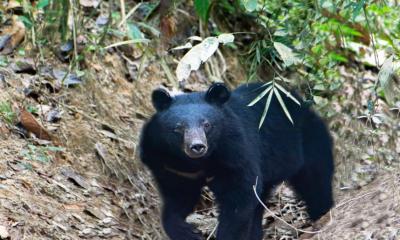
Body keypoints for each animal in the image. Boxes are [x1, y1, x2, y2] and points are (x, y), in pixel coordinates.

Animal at [139, 83, 332, 240]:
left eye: (207, 125)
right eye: (178, 128)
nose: (197, 146)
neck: (199, 163)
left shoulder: (236, 154)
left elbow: (239, 199)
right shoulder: (170, 166)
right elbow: (178, 197)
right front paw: (188, 232)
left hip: (309, 142)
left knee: (316, 183)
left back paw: (323, 215)